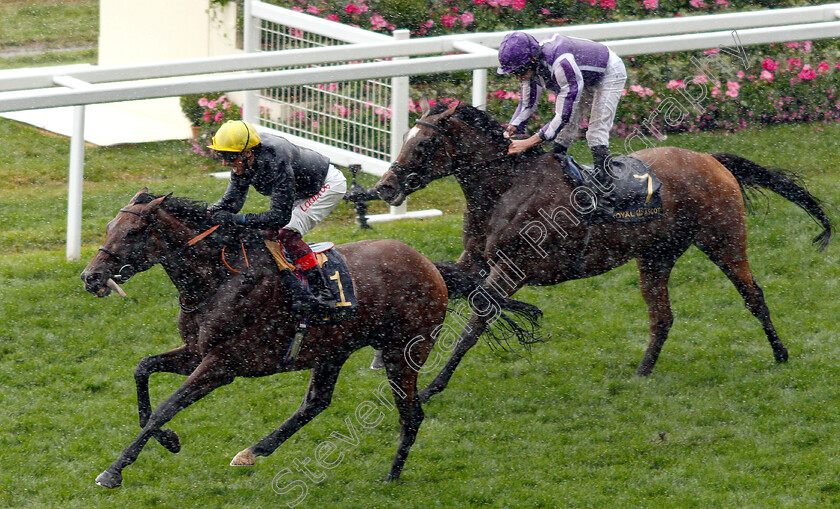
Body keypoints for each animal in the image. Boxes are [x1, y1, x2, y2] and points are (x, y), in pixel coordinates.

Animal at [80, 189, 460, 486]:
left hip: (403, 351)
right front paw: (168, 440)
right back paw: (253, 451)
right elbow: (142, 369)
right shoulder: (195, 352)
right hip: (333, 349)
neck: (217, 280)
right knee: (316, 402)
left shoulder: (222, 364)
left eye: (132, 232)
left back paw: (392, 476)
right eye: (109, 227)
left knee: (411, 413)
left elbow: (166, 407)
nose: (90, 276)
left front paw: (113, 472)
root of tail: (429, 266)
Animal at [376, 101, 832, 402]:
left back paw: (780, 353)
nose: (385, 187)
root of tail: (709, 158)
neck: (505, 188)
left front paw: (431, 387)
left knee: (753, 295)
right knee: (662, 317)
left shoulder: (513, 268)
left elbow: (476, 322)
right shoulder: (474, 260)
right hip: (655, 256)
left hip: (724, 241)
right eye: (406, 139)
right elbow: (443, 282)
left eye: (424, 145)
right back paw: (641, 373)